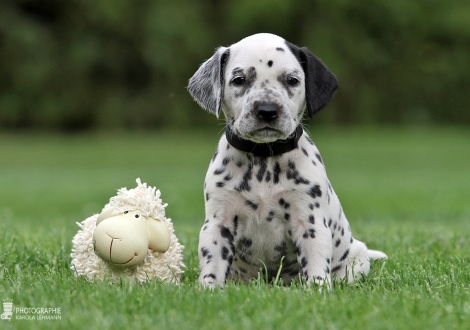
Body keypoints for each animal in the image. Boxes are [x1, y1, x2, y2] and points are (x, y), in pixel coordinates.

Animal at [187, 32, 386, 288]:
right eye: (240, 80)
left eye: (292, 80)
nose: (267, 110)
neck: (263, 158)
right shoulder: (217, 224)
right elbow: (212, 265)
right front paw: (208, 289)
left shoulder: (310, 223)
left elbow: (316, 267)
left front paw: (318, 290)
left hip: (356, 260)